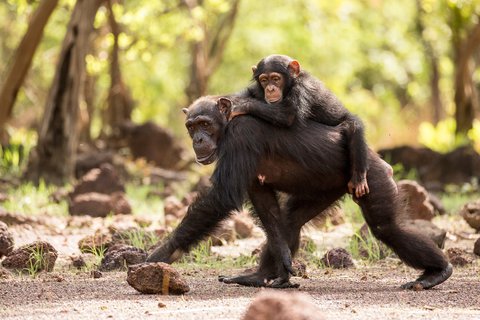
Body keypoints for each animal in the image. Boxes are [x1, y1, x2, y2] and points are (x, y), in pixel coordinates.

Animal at [145, 95, 450, 290]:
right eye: (191, 126)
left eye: (205, 124)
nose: (197, 139)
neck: (229, 123)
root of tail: (381, 163)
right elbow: (264, 203)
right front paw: (280, 263)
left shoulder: (242, 136)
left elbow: (223, 195)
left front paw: (162, 253)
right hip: (323, 190)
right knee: (290, 221)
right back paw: (258, 276)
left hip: (372, 179)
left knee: (387, 228)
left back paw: (437, 272)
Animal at [232, 55, 372, 198]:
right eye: (264, 80)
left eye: (276, 79)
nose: (270, 89)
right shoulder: (258, 90)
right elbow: (249, 93)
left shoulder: (303, 88)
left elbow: (287, 115)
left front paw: (239, 105)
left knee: (353, 126)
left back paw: (359, 178)